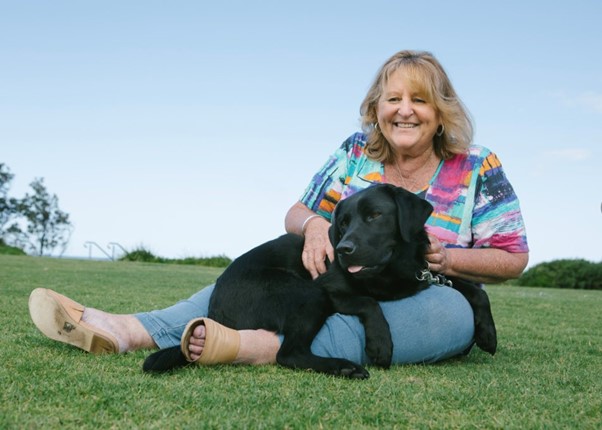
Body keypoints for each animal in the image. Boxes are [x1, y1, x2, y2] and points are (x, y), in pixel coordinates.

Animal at [143, 183, 494, 378]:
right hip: (308, 296)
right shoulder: (330, 288)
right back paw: (343, 366)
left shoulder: (426, 275)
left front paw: (488, 333)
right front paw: (381, 344)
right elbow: (368, 302)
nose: (343, 250)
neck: (395, 268)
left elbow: (473, 289)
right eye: (343, 222)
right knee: (288, 354)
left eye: (375, 216)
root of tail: (215, 311)